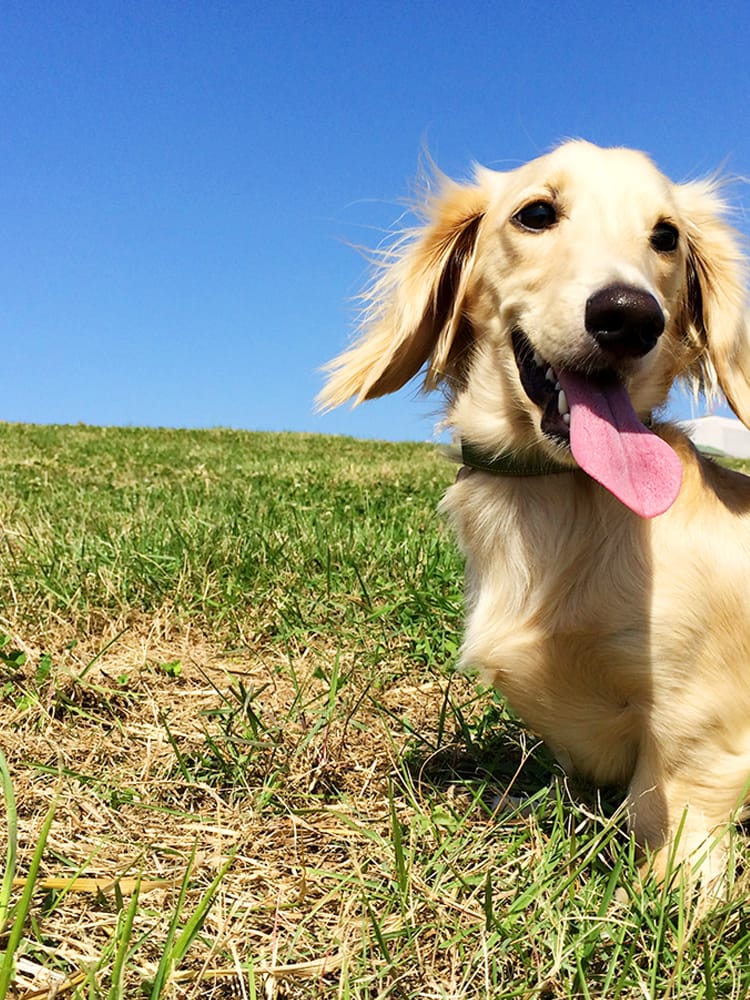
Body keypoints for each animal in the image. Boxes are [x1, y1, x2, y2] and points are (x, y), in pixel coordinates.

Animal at [320, 141, 750, 884]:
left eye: (666, 236)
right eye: (537, 214)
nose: (630, 316)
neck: (560, 495)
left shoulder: (701, 721)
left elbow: (668, 813)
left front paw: (668, 896)